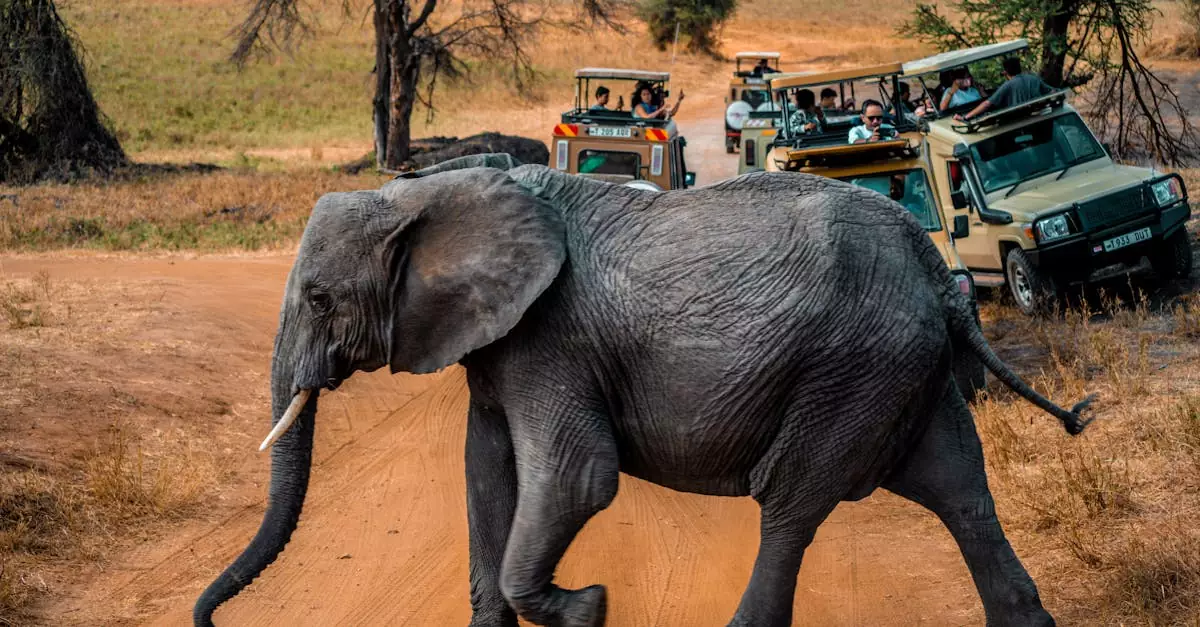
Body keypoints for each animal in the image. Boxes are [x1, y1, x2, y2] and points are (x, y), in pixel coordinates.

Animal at [193, 153, 1095, 627]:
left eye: (319, 299)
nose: (205, 619)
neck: (433, 188)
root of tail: (935, 267)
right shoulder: (500, 343)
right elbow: (485, 472)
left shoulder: (551, 336)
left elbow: (576, 476)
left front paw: (588, 605)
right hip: (904, 365)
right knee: (961, 489)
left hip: (853, 367)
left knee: (792, 501)